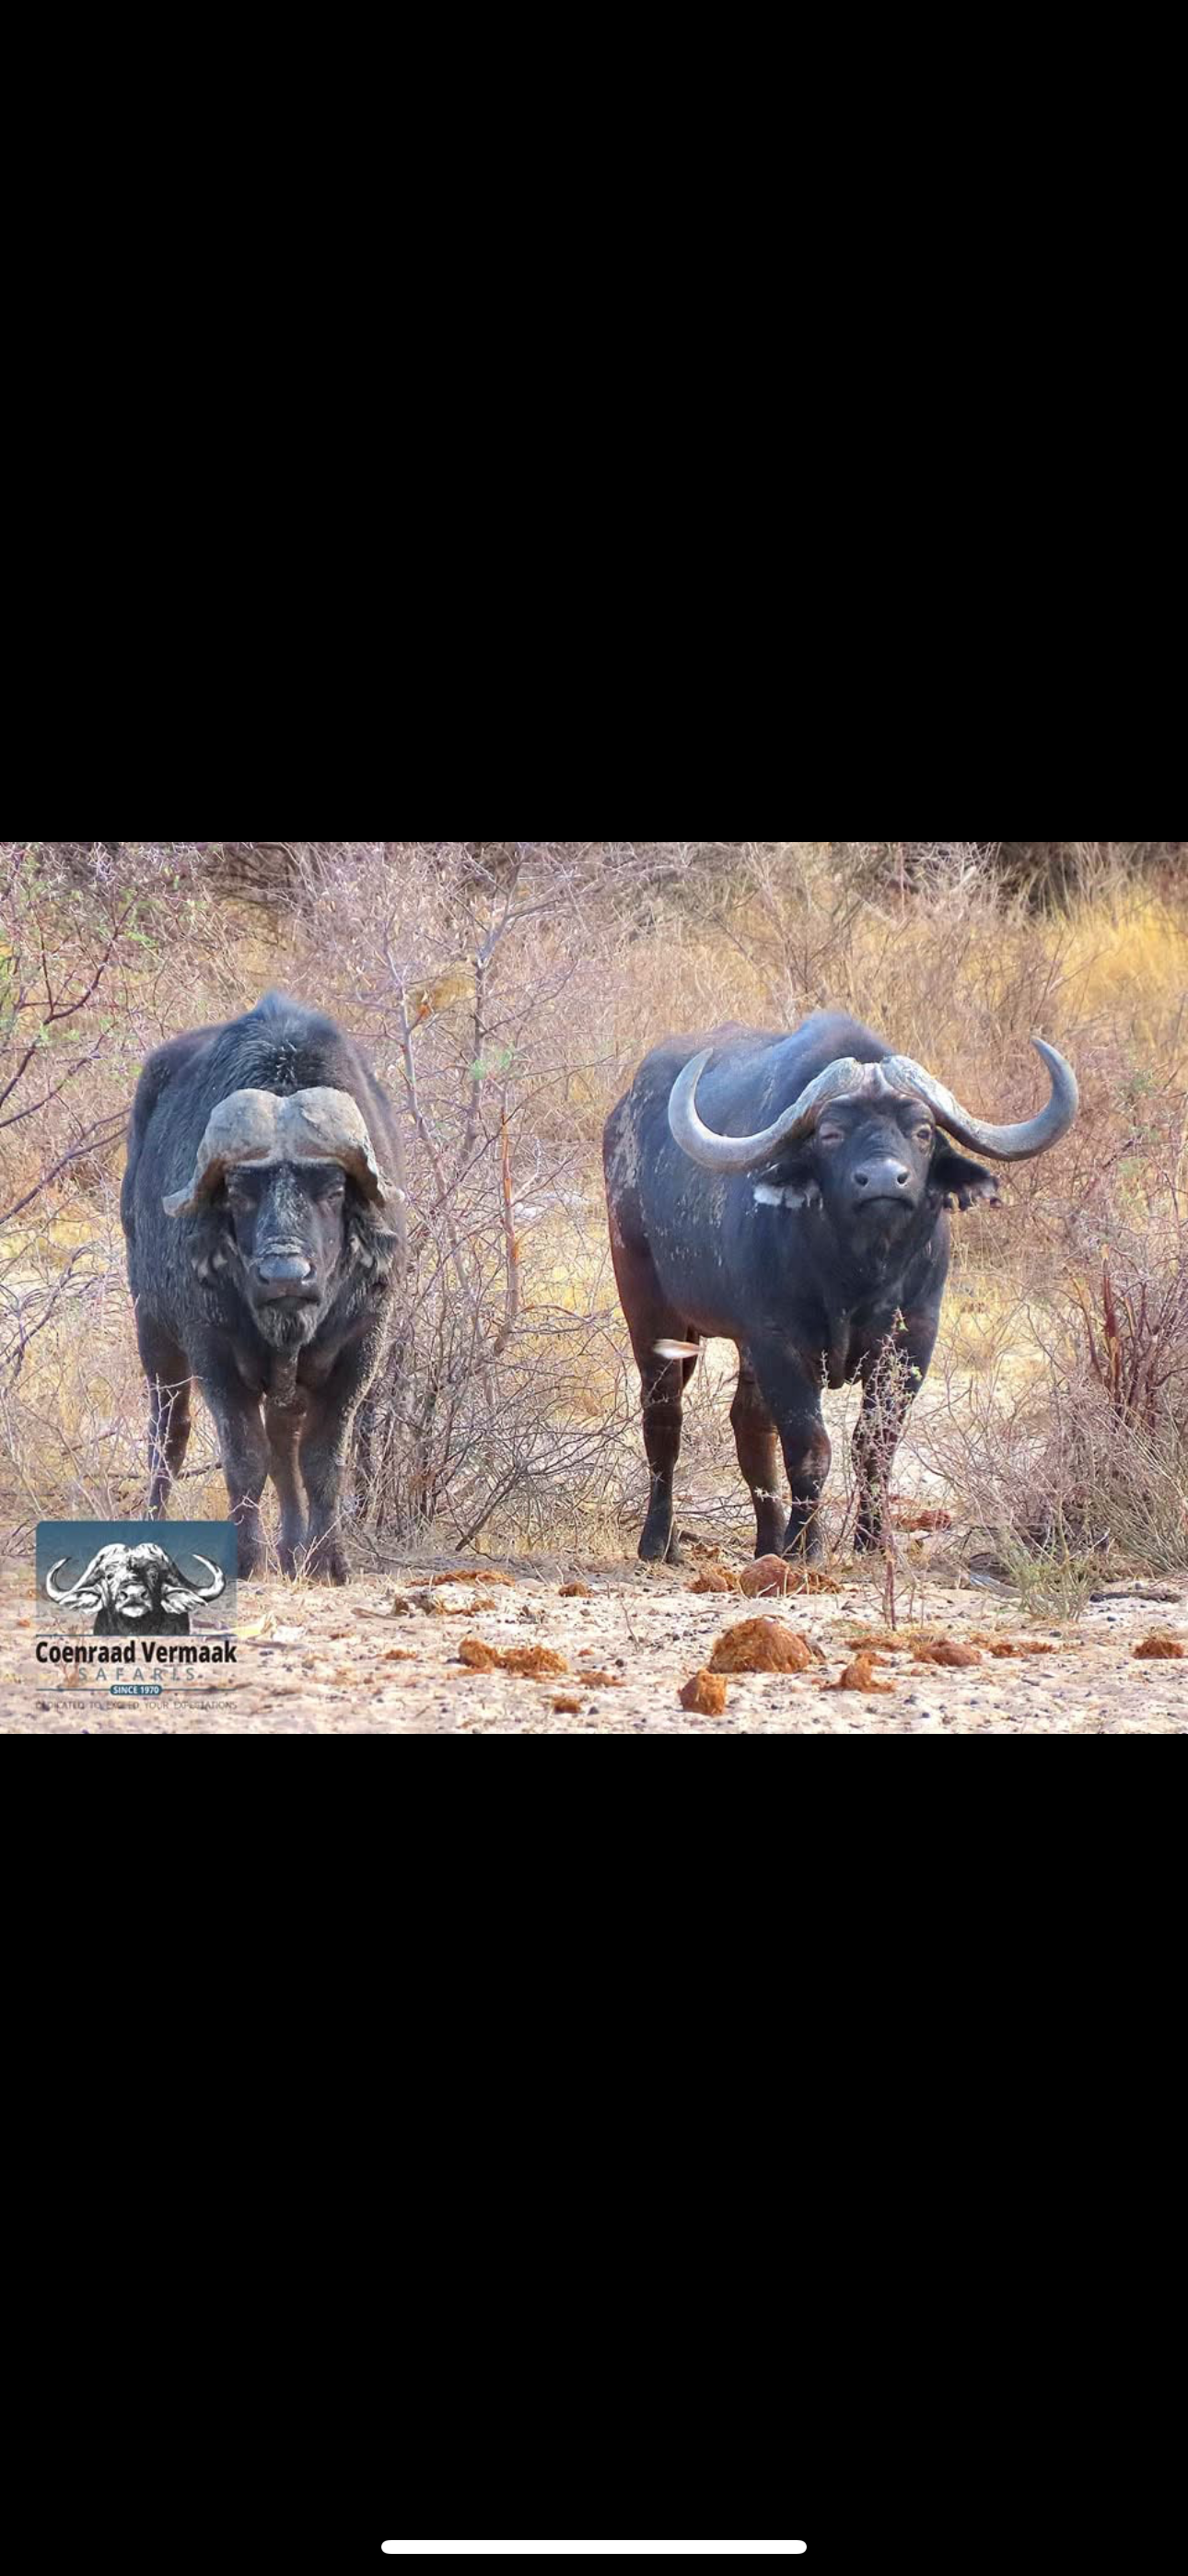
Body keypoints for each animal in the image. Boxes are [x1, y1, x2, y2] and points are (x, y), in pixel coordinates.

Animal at [121, 992, 405, 1581]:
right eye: (239, 1189)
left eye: (333, 1188)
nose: (285, 1276)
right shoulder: (212, 1350)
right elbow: (244, 1458)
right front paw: (248, 1557)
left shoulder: (360, 1348)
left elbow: (320, 1460)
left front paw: (327, 1559)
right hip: (152, 1329)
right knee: (169, 1434)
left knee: (284, 1442)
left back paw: (294, 1547)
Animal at [603, 1011, 1078, 1563]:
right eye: (830, 1133)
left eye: (921, 1131)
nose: (883, 1180)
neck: (855, 1275)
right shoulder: (779, 1341)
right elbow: (810, 1446)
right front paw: (805, 1547)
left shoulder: (913, 1339)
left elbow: (874, 1443)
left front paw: (873, 1542)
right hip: (650, 1308)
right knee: (664, 1416)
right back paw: (661, 1541)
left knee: (749, 1425)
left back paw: (767, 1542)